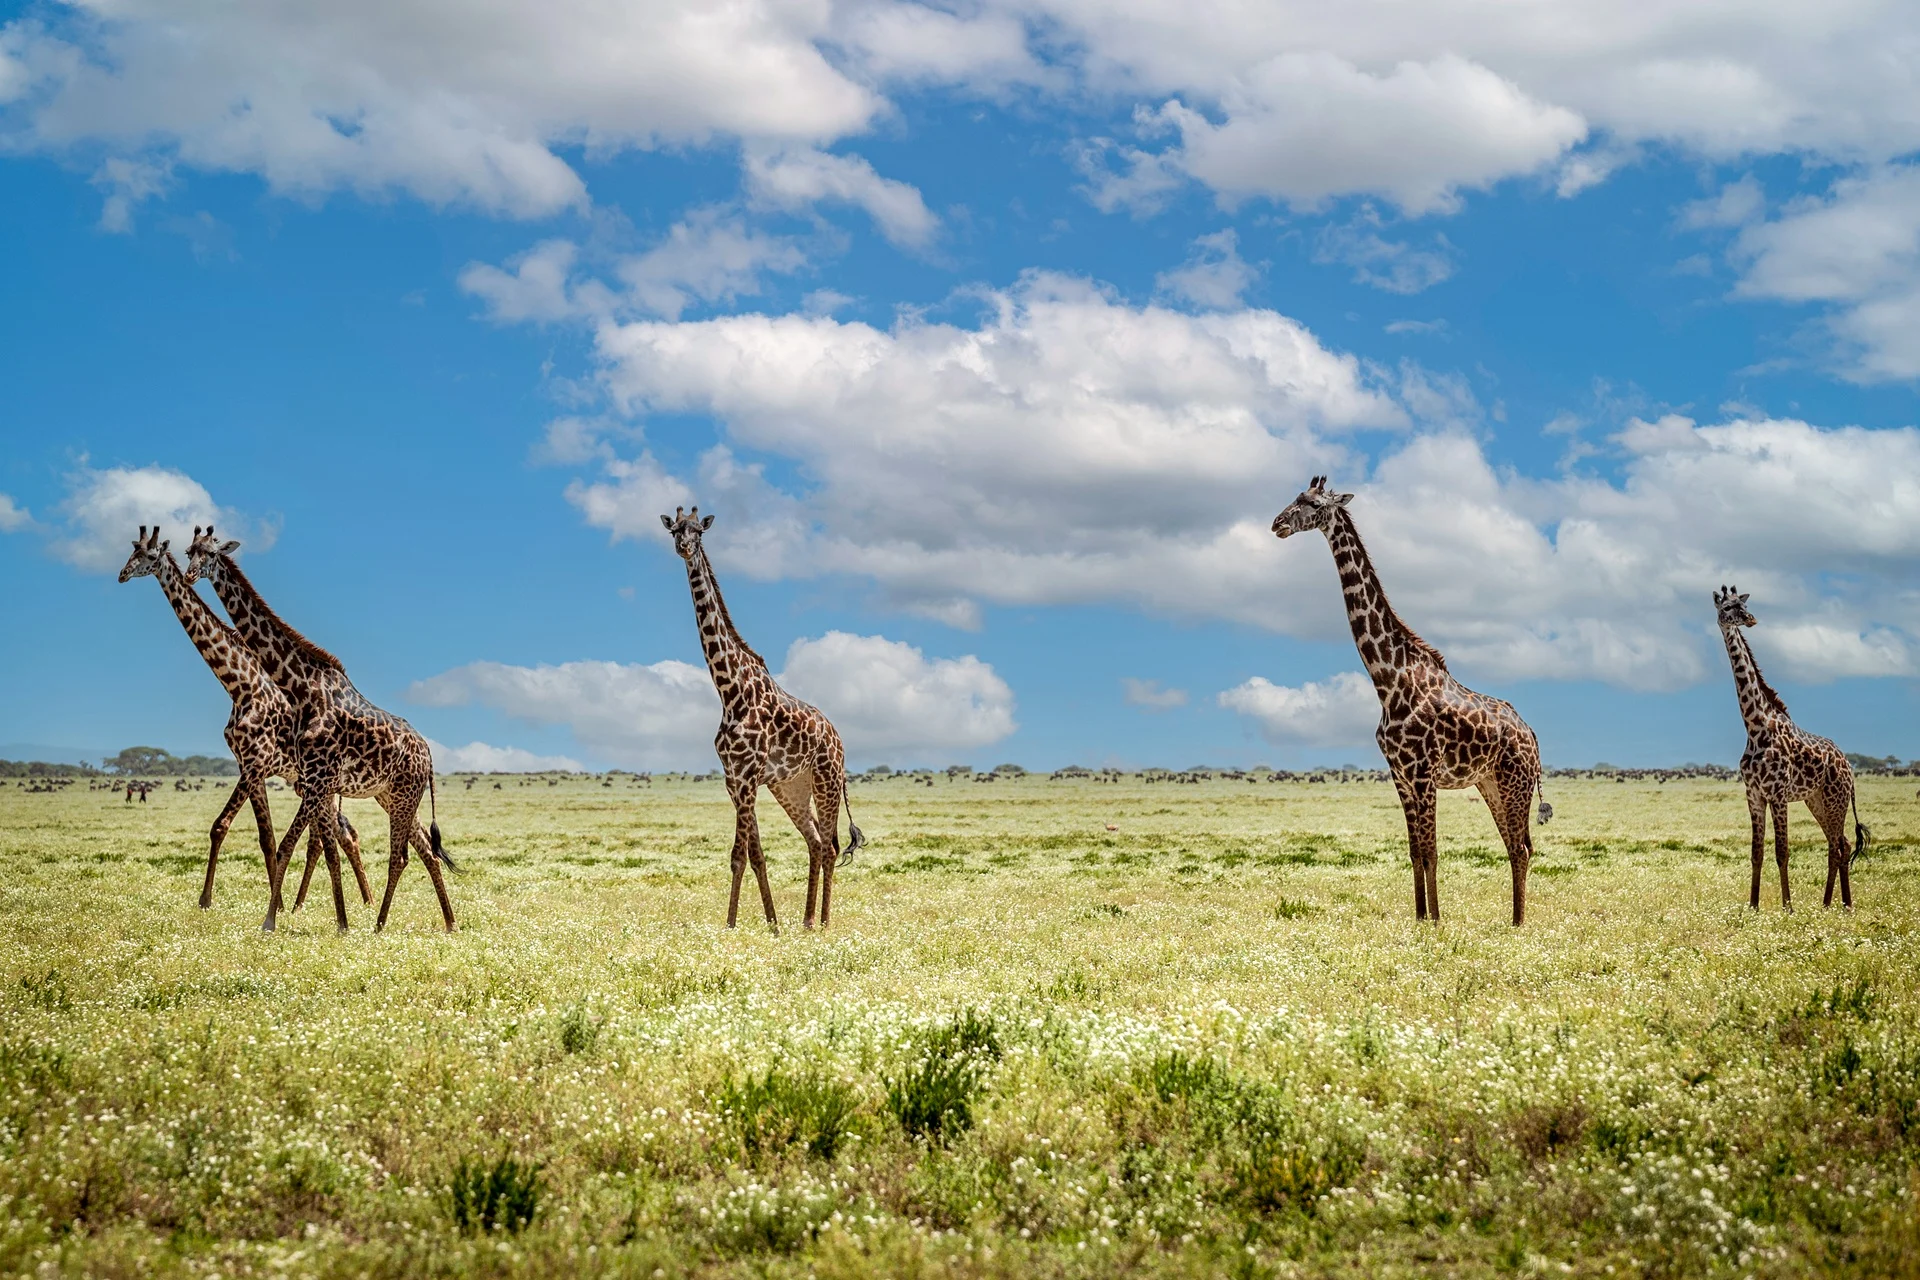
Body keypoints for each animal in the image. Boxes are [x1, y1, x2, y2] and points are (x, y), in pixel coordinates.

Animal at [118, 526, 370, 910]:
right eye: (131, 552)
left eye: (148, 556)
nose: (122, 574)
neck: (239, 686)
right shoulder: (249, 765)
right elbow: (265, 837)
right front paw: (274, 903)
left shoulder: (256, 762)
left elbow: (223, 826)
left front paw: (209, 899)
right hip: (308, 784)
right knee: (338, 834)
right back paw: (330, 902)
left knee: (338, 835)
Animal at [183, 526, 455, 933]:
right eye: (189, 551)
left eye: (211, 554)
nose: (188, 575)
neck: (301, 687)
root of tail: (429, 754)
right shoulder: (312, 780)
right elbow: (312, 846)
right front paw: (324, 920)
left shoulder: (315, 778)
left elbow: (292, 844)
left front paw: (273, 920)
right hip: (392, 796)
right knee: (423, 850)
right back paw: (448, 922)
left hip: (404, 796)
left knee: (400, 856)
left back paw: (380, 924)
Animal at [662, 506, 863, 932]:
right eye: (674, 530)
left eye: (698, 532)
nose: (684, 548)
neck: (728, 688)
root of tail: (839, 738)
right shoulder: (735, 778)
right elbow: (755, 856)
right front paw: (771, 923)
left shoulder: (749, 774)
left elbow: (739, 855)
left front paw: (731, 925)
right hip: (791, 787)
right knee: (815, 842)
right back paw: (805, 921)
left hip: (826, 779)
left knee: (830, 845)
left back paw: (823, 923)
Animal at [1273, 477, 1544, 925]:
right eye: (1293, 497)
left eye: (1310, 503)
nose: (1276, 524)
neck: (1387, 679)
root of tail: (1533, 737)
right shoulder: (1399, 774)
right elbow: (1416, 852)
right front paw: (1420, 918)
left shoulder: (1422, 773)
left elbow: (1432, 852)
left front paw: (1435, 920)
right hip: (1489, 783)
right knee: (1514, 845)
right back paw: (1513, 919)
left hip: (1514, 781)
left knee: (1522, 847)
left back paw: (1519, 923)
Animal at [1713, 586, 1867, 910]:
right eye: (1728, 607)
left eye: (1743, 604)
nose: (1750, 619)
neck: (1755, 726)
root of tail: (1848, 766)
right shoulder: (1754, 796)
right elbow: (1756, 853)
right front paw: (1753, 906)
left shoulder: (1778, 794)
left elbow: (1782, 852)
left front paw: (1788, 907)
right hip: (1816, 800)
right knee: (1837, 844)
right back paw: (1827, 905)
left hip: (1836, 799)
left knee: (1841, 845)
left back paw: (1845, 905)